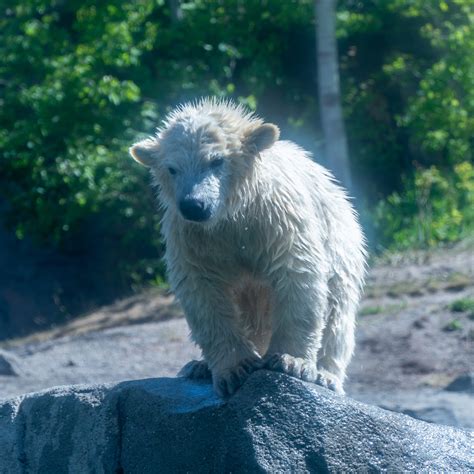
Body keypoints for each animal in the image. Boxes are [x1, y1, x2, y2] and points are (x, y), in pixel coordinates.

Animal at [130, 98, 366, 398]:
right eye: (172, 169)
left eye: (216, 161)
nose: (194, 205)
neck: (232, 215)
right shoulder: (192, 238)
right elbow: (203, 292)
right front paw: (234, 369)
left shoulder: (275, 221)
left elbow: (297, 275)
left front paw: (292, 362)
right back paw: (198, 366)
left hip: (341, 244)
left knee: (337, 310)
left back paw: (327, 375)